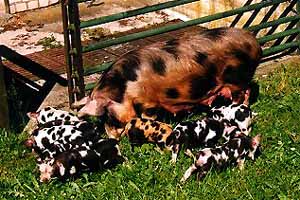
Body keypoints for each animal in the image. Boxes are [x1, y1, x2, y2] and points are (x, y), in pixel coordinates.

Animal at [74, 26, 262, 139]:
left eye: (108, 114)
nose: (112, 137)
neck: (125, 89)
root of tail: (255, 44)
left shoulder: (149, 103)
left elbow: (148, 117)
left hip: (236, 79)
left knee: (242, 94)